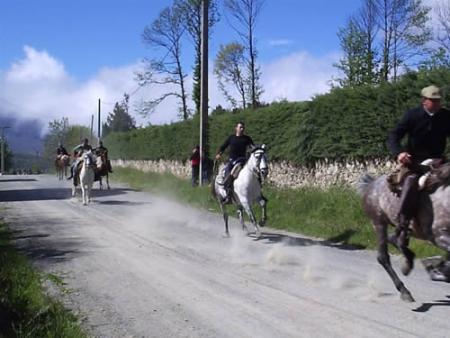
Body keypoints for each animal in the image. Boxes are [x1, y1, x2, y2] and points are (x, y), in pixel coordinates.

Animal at [358, 165, 450, 302]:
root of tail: (371, 184)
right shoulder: (438, 236)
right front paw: (437, 271)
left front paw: (438, 270)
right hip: (379, 223)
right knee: (383, 257)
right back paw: (405, 290)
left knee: (396, 239)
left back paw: (409, 262)